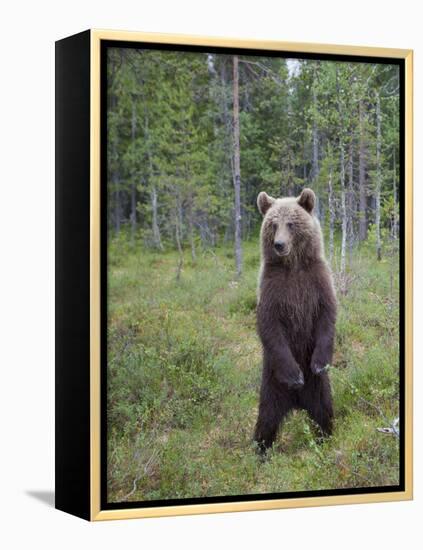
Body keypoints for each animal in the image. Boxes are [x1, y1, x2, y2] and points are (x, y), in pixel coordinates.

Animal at [255, 190, 338, 458]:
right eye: (273, 224)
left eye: (291, 223)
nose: (279, 244)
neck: (293, 266)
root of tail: (297, 403)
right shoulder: (272, 288)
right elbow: (269, 325)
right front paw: (295, 375)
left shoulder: (317, 281)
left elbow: (327, 315)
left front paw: (320, 363)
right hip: (271, 383)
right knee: (267, 420)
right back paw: (259, 452)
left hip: (319, 389)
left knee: (323, 413)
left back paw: (326, 440)